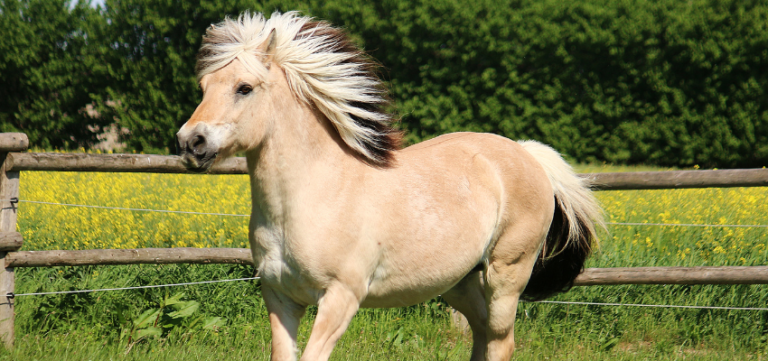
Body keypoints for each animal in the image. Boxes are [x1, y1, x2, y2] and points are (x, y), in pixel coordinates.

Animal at [177, 11, 604, 360]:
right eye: (204, 86)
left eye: (244, 87)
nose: (190, 142)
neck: (310, 197)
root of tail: (527, 154)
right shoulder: (279, 296)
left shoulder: (341, 297)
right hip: (459, 283)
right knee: (481, 336)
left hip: (506, 276)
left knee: (501, 342)